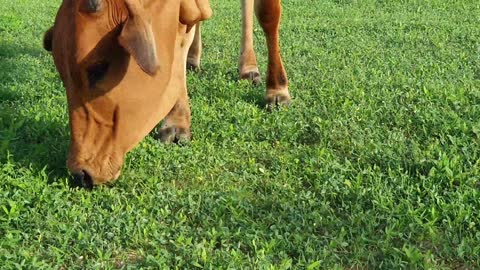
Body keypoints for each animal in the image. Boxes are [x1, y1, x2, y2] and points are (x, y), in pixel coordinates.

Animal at [42, 0, 288, 188]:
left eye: (97, 68)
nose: (80, 173)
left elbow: (268, 14)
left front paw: (277, 89)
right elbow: (181, 39)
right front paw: (177, 122)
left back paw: (249, 68)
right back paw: (194, 60)